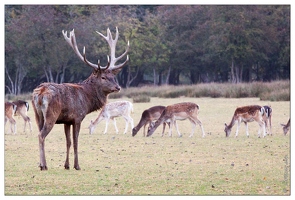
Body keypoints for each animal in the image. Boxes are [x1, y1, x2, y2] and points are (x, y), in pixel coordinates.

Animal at [31, 27, 130, 170]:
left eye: (113, 76)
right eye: (103, 77)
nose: (118, 87)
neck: (87, 100)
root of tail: (40, 93)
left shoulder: (66, 121)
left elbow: (68, 142)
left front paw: (66, 165)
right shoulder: (77, 117)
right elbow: (76, 141)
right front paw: (77, 165)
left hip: (37, 115)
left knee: (39, 133)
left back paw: (40, 164)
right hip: (51, 114)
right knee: (41, 135)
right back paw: (44, 165)